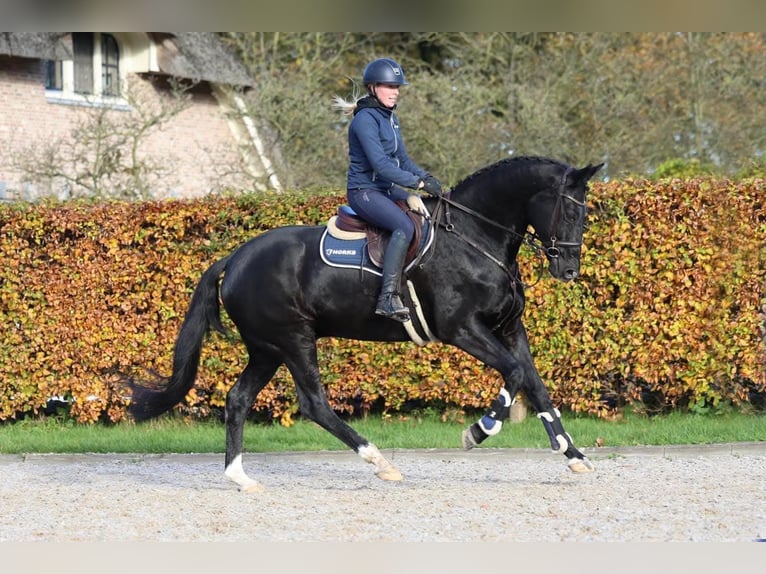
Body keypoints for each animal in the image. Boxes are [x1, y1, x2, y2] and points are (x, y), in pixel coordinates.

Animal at [129, 155, 604, 492]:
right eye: (568, 212)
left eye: (585, 215)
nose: (568, 270)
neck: (475, 237)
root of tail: (236, 257)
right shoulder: (463, 329)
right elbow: (515, 373)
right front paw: (479, 431)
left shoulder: (508, 330)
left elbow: (535, 384)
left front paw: (572, 453)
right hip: (293, 339)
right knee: (314, 404)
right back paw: (380, 461)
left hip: (267, 349)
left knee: (238, 399)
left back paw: (240, 477)